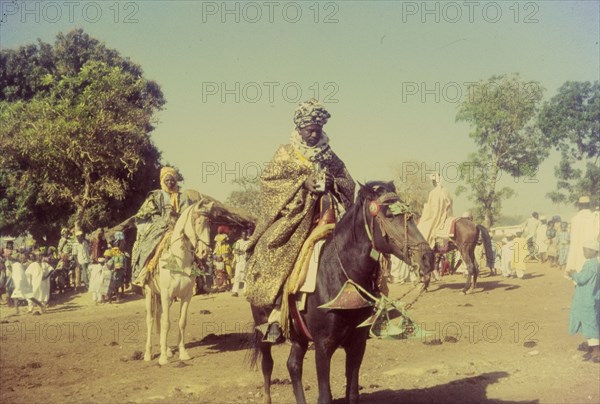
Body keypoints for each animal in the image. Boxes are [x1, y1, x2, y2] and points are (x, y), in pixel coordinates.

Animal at [144, 200, 213, 364]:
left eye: (210, 222)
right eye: (197, 222)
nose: (204, 251)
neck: (179, 260)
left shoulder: (186, 296)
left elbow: (181, 322)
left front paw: (183, 354)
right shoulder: (166, 294)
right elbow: (166, 323)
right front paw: (162, 358)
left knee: (159, 315)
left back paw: (168, 350)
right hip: (150, 293)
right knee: (150, 320)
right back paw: (148, 354)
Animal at [251, 181, 434, 404]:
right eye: (389, 215)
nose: (428, 258)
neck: (341, 275)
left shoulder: (357, 343)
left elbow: (353, 392)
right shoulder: (323, 345)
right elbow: (324, 396)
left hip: (299, 336)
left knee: (293, 365)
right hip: (263, 330)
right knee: (267, 365)